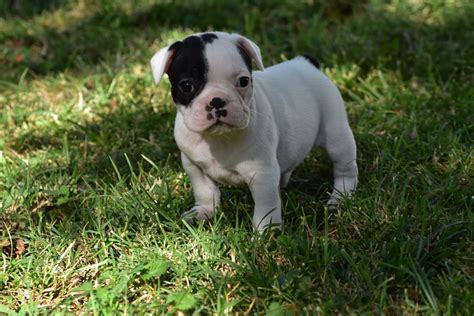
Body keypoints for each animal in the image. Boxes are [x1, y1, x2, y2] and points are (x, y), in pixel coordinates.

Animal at [150, 31, 358, 230]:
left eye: (243, 81)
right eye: (187, 86)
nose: (217, 101)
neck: (218, 138)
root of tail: (305, 62)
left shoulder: (262, 174)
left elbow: (266, 205)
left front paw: (265, 232)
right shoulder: (194, 166)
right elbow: (204, 191)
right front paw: (203, 213)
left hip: (336, 134)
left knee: (344, 168)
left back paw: (340, 198)